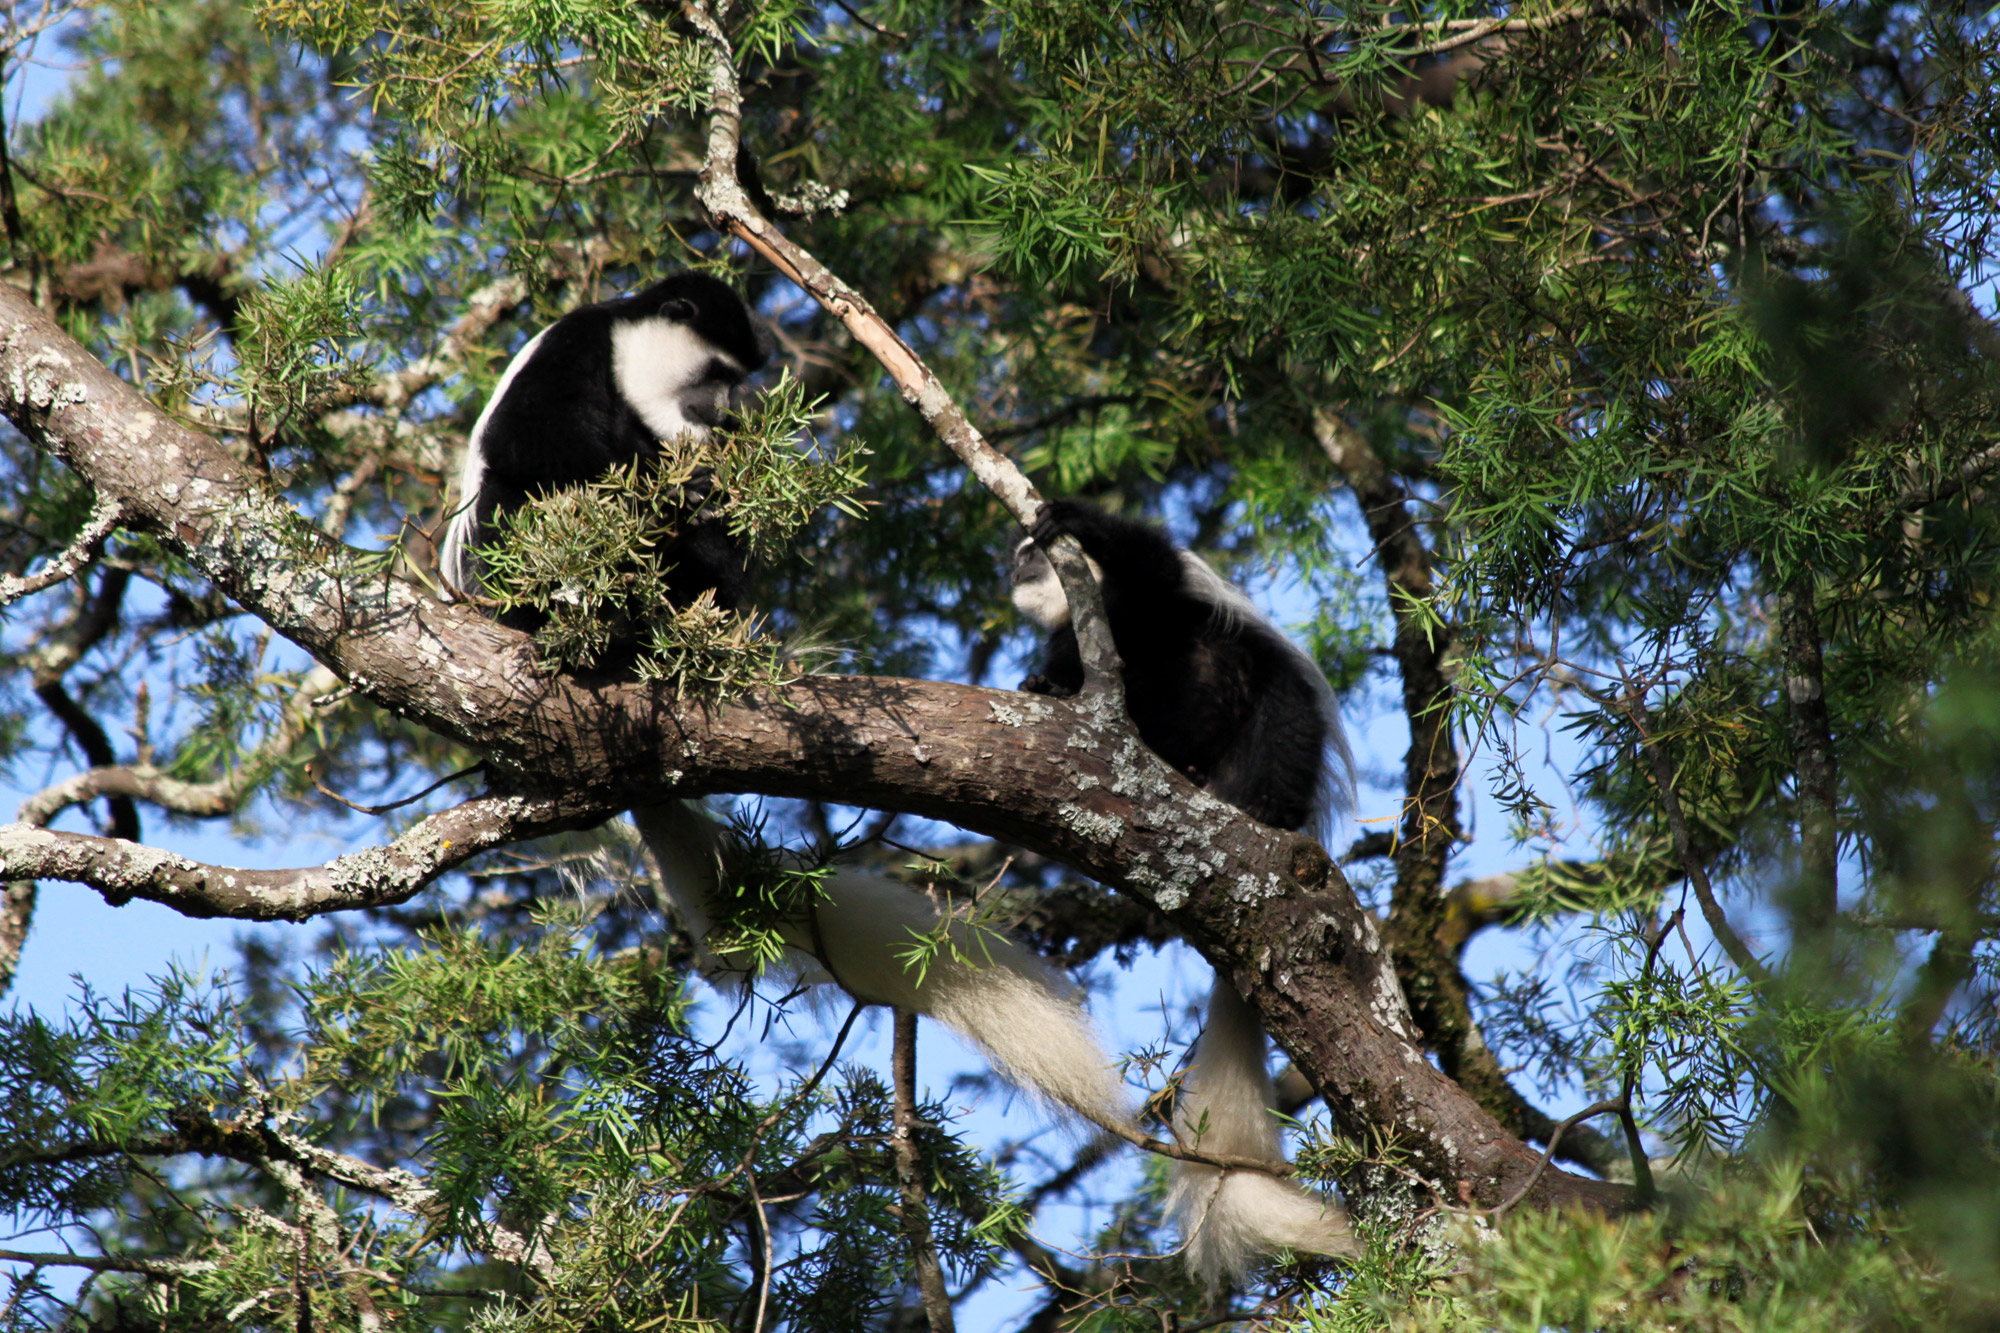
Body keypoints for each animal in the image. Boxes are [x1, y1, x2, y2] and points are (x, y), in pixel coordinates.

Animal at [1016, 496, 1360, 1280]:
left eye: (1034, 550)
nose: (1019, 558)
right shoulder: (1071, 641)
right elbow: (1063, 668)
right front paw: (1044, 689)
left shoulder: (1151, 594)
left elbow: (1154, 563)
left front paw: (1073, 516)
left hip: (1271, 743)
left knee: (1274, 701)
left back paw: (1244, 800)